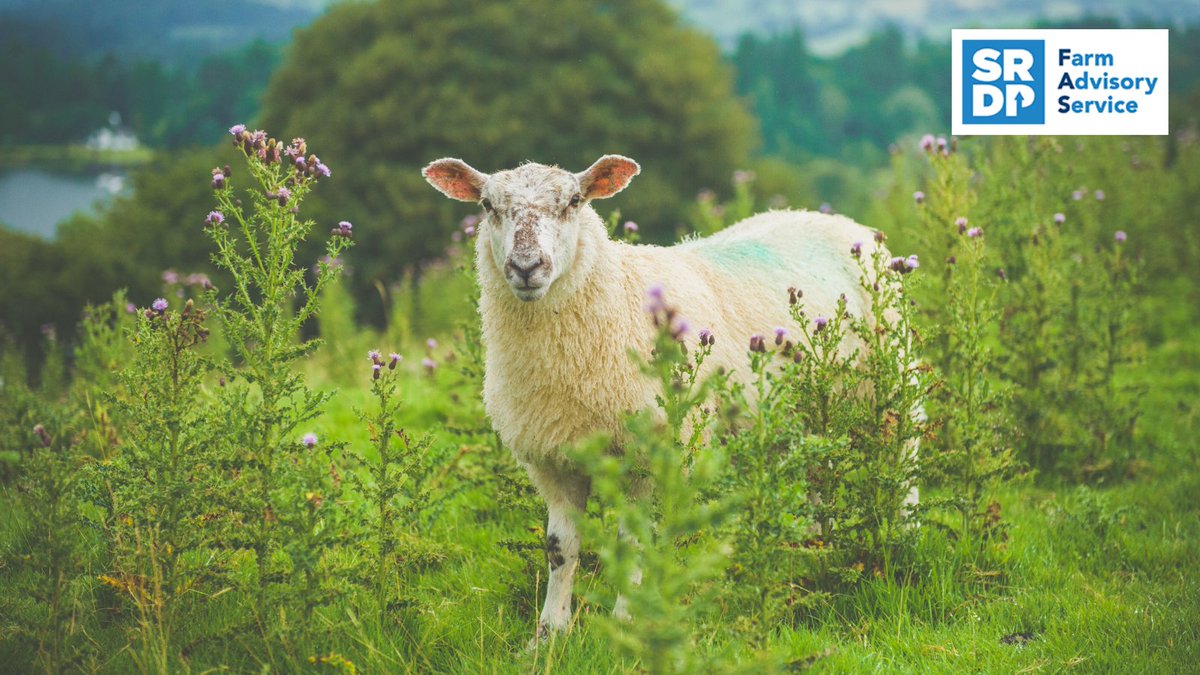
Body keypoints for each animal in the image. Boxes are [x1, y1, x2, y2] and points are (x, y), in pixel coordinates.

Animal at [427, 154, 902, 643]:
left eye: (575, 201)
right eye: (487, 205)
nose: (525, 266)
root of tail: (827, 218)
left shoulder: (651, 456)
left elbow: (632, 541)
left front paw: (626, 622)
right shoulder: (555, 459)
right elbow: (560, 549)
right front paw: (548, 635)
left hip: (891, 380)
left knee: (902, 463)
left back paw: (900, 536)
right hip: (802, 418)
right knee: (816, 482)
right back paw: (812, 548)